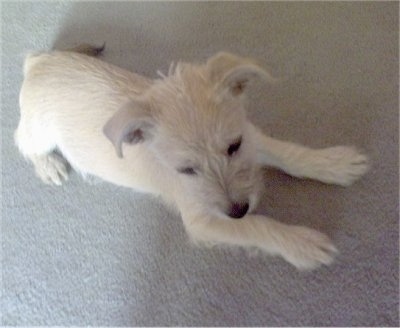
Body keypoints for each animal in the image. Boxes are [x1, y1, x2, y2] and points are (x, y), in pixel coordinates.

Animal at [14, 44, 368, 270]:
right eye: (186, 170)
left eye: (234, 147)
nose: (238, 210)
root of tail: (37, 61)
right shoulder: (204, 220)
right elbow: (259, 226)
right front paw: (301, 243)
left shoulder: (250, 136)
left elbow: (288, 152)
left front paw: (334, 163)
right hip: (39, 132)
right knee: (21, 141)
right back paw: (48, 165)